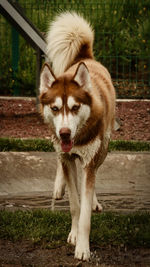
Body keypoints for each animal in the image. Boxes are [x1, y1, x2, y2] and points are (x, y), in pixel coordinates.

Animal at [39, 12, 115, 262]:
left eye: (74, 107)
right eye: (55, 108)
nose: (65, 132)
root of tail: (85, 57)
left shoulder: (89, 158)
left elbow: (84, 214)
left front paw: (83, 247)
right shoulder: (68, 157)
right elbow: (74, 204)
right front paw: (73, 234)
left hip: (103, 147)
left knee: (94, 173)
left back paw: (94, 201)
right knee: (60, 162)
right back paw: (58, 186)